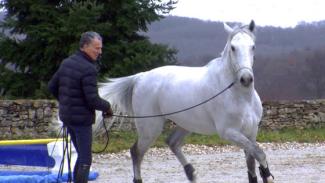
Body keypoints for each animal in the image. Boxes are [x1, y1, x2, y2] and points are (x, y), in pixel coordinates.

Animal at [97, 20, 274, 182]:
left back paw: (191, 173)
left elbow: (252, 163)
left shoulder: (251, 131)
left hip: (185, 123)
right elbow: (259, 154)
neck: (241, 96)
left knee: (172, 142)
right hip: (150, 128)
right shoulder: (229, 132)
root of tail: (140, 77)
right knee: (136, 152)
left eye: (253, 47)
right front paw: (268, 176)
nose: (246, 79)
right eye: (233, 47)